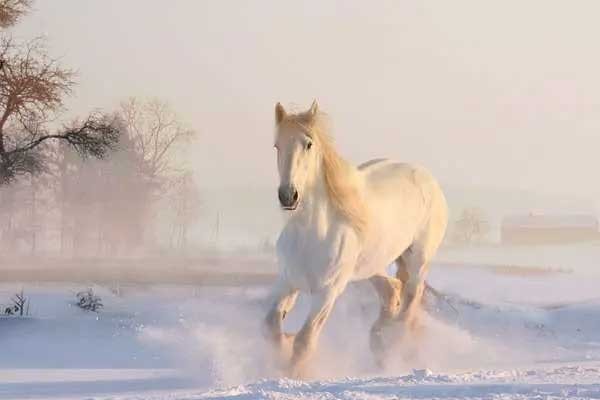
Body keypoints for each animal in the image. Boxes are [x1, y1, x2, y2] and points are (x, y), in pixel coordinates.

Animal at [264, 100, 448, 376]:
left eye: (309, 144)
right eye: (277, 145)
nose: (288, 195)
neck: (312, 235)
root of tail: (427, 177)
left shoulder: (327, 293)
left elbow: (304, 341)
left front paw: (292, 374)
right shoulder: (287, 282)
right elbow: (272, 327)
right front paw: (282, 351)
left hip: (418, 259)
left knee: (410, 301)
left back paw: (392, 347)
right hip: (373, 265)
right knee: (392, 291)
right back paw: (379, 341)